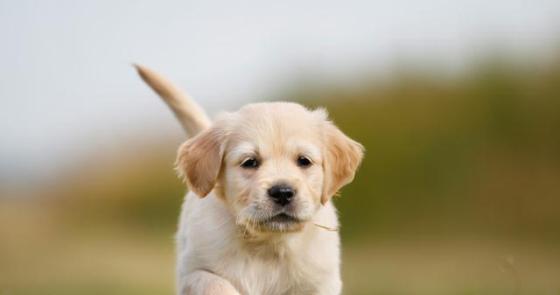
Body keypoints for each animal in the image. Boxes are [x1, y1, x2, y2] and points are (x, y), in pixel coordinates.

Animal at [136, 65, 364, 295]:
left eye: (304, 161)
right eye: (250, 162)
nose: (282, 192)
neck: (267, 246)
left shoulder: (321, 282)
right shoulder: (192, 272)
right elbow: (216, 283)